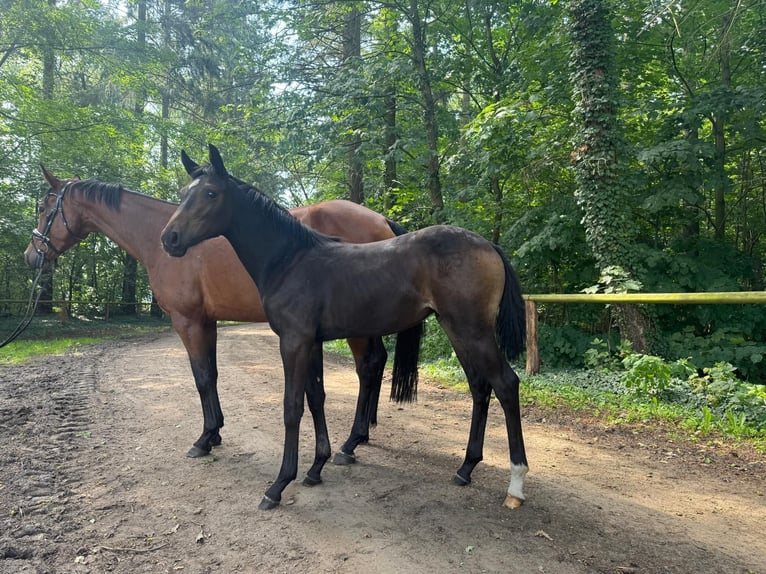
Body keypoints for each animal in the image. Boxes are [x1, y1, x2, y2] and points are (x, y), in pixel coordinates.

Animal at [24, 167, 423, 474]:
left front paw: (204, 439)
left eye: (44, 207)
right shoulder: (207, 321)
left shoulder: (187, 322)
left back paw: (351, 442)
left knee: (368, 366)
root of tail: (381, 220)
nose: (31, 255)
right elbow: (212, 375)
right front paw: (214, 433)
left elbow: (201, 378)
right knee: (375, 363)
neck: (158, 235)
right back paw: (362, 434)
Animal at [161, 144, 528, 510]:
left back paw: (515, 485)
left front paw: (278, 485)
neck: (290, 260)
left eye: (211, 193)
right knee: (480, 387)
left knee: (506, 384)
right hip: (457, 330)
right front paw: (316, 468)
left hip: (472, 331)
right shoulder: (312, 342)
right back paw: (465, 468)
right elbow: (315, 397)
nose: (169, 239)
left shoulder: (294, 342)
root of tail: (489, 245)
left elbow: (292, 407)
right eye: (182, 193)